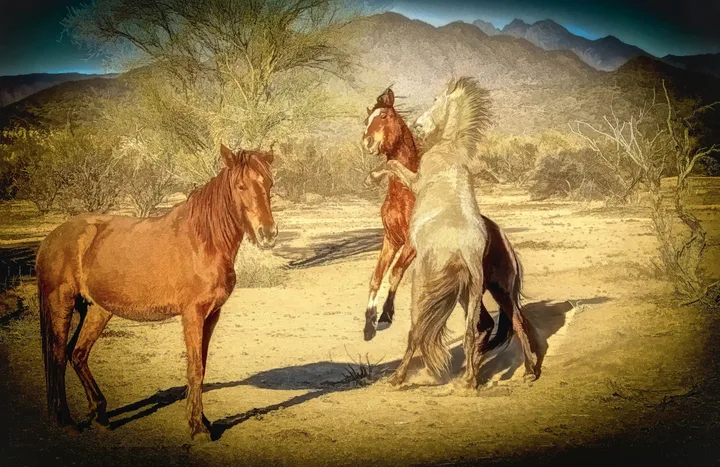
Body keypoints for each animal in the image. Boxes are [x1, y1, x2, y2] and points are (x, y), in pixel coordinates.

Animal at [36, 143, 277, 441]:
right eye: (241, 186)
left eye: (269, 183)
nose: (268, 233)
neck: (204, 241)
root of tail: (51, 238)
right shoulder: (192, 314)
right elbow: (195, 369)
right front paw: (197, 428)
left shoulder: (212, 315)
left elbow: (201, 368)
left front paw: (203, 421)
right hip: (62, 303)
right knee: (58, 355)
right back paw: (66, 421)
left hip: (97, 309)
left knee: (78, 354)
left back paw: (101, 416)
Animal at [367, 77, 540, 388]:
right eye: (368, 119)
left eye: (436, 99)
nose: (420, 124)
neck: (450, 151)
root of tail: (464, 252)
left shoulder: (413, 193)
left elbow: (392, 165)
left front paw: (372, 176)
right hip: (484, 290)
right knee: (497, 325)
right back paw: (503, 374)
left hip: (430, 284)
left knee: (420, 328)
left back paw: (400, 377)